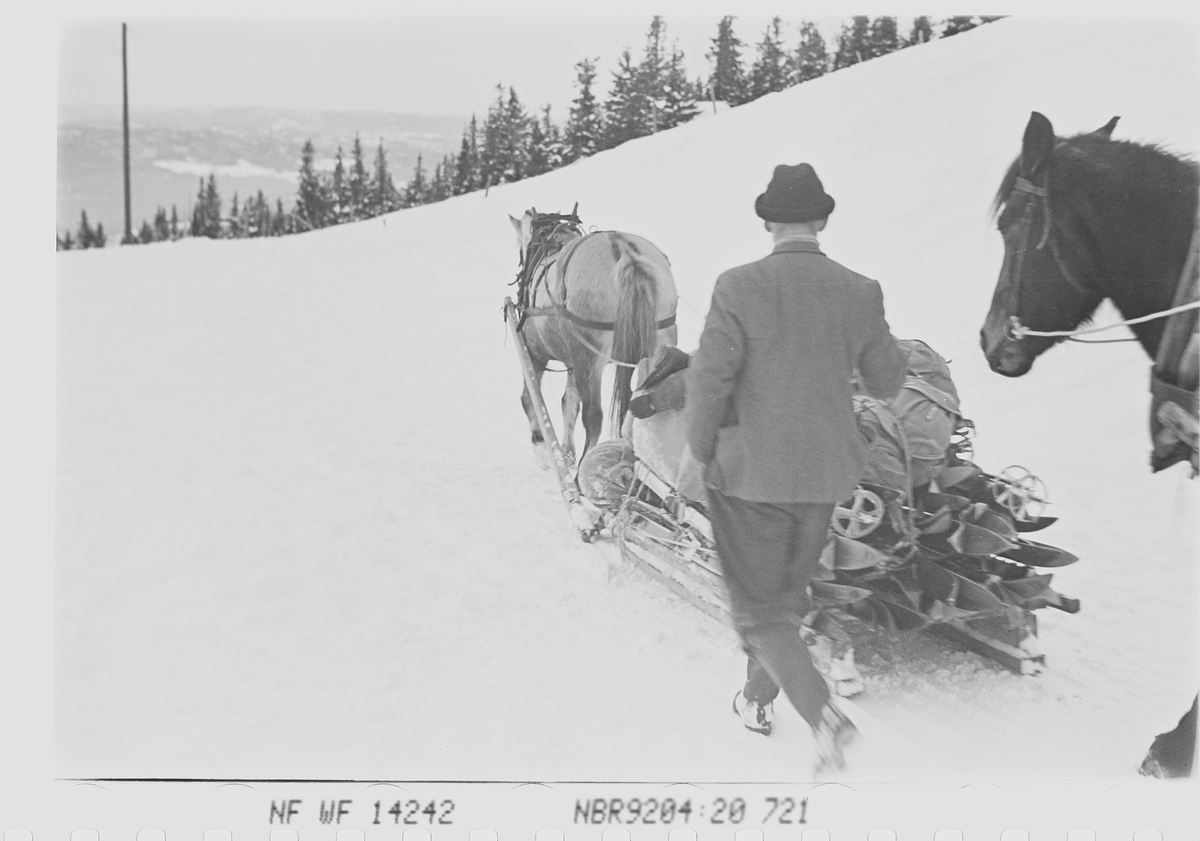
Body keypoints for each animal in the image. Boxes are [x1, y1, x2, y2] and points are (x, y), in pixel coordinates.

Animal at [506, 206, 676, 463]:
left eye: (519, 250)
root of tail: (625, 253)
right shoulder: (572, 362)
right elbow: (568, 403)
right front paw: (566, 452)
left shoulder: (535, 355)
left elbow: (530, 399)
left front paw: (542, 447)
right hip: (659, 342)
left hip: (588, 359)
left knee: (593, 417)